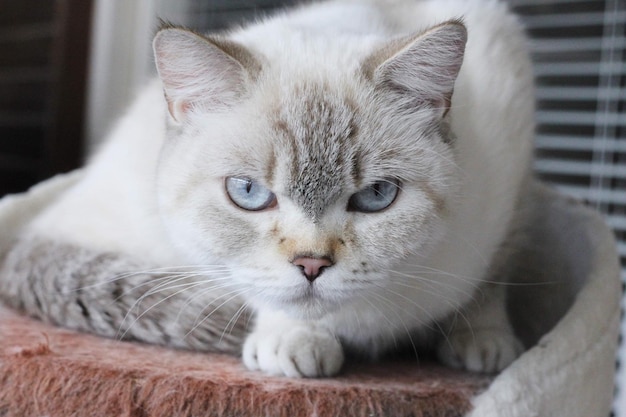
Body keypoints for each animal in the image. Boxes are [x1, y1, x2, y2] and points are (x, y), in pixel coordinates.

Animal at [1, 0, 536, 376]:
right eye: (248, 193)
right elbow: (259, 293)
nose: (311, 265)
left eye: (376, 196)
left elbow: (492, 283)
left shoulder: (512, 188)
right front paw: (294, 342)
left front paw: (488, 344)